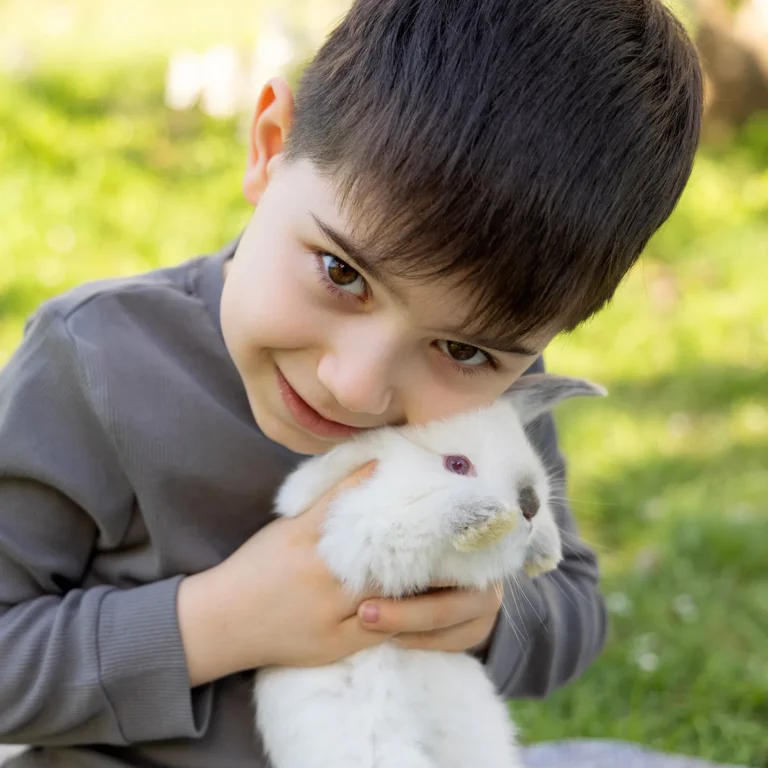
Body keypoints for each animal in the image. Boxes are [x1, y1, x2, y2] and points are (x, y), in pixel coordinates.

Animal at [255, 372, 604, 768]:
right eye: (457, 465)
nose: (529, 504)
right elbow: (426, 516)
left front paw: (547, 551)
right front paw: (484, 516)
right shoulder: (362, 533)